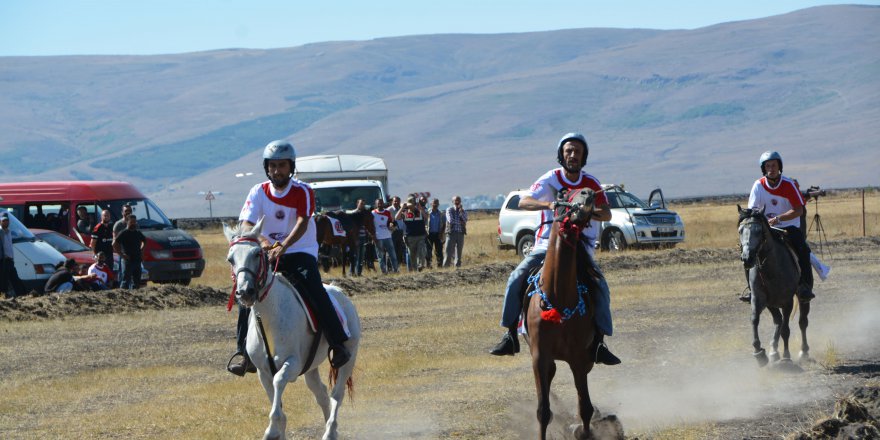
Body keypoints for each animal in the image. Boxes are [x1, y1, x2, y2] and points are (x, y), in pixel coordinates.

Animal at [227, 219, 364, 440]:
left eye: (256, 254)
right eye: (230, 259)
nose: (245, 292)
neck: (269, 316)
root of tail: (339, 292)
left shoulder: (292, 364)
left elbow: (278, 383)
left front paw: (271, 429)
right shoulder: (263, 372)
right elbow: (276, 401)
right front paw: (277, 430)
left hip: (348, 358)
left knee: (337, 395)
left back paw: (330, 432)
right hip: (311, 369)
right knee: (322, 395)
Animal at [524, 189, 600, 440]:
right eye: (564, 195)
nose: (588, 193)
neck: (558, 295)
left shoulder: (579, 357)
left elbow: (585, 407)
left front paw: (585, 432)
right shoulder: (539, 356)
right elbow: (543, 411)